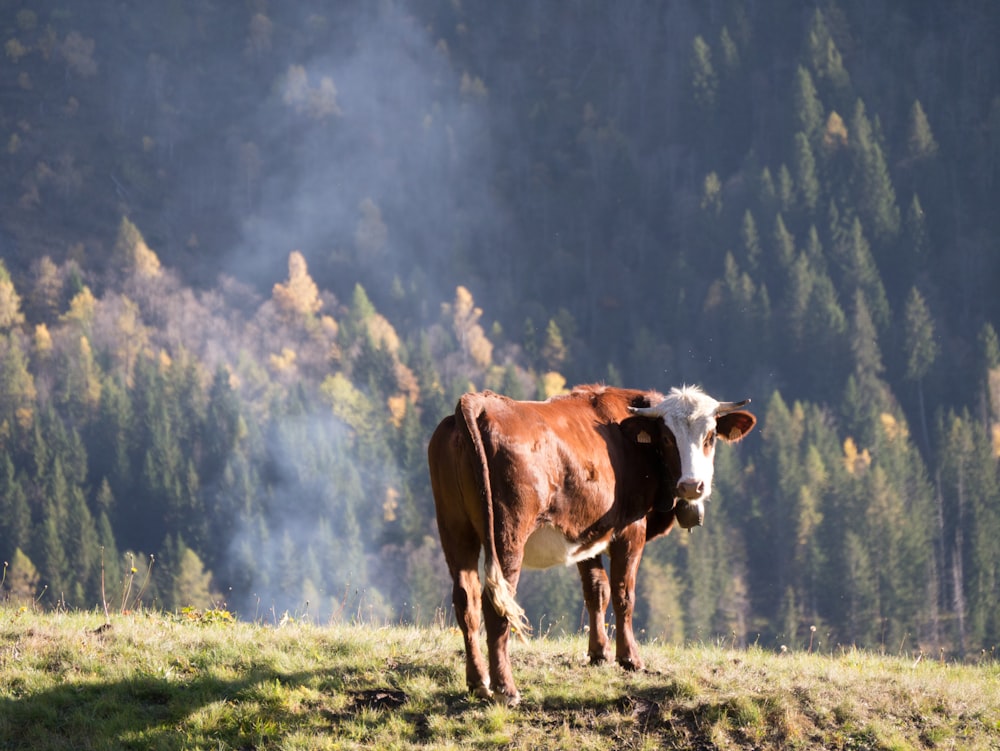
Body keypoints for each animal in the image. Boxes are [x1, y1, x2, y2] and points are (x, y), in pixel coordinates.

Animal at [426, 384, 752, 708]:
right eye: (668, 437)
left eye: (710, 436)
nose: (691, 486)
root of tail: (480, 403)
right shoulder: (630, 529)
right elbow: (623, 594)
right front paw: (629, 658)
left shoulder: (584, 532)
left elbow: (597, 590)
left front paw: (599, 653)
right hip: (507, 534)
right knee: (495, 605)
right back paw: (506, 689)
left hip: (454, 528)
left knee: (466, 599)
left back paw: (478, 682)